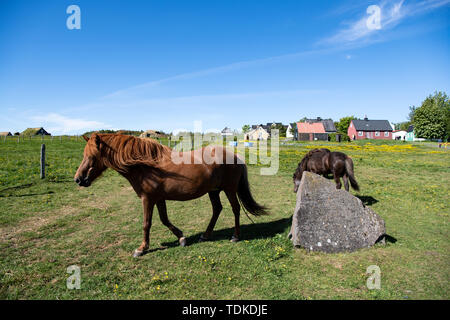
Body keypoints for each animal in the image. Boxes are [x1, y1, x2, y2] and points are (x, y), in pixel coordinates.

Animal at [74, 134, 268, 256]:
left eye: (92, 157)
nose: (78, 179)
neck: (146, 166)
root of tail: (235, 156)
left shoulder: (148, 199)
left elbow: (146, 224)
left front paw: (141, 249)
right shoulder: (159, 198)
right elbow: (164, 220)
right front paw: (181, 237)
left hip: (229, 190)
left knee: (235, 209)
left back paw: (235, 236)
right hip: (213, 191)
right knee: (217, 209)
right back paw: (206, 235)